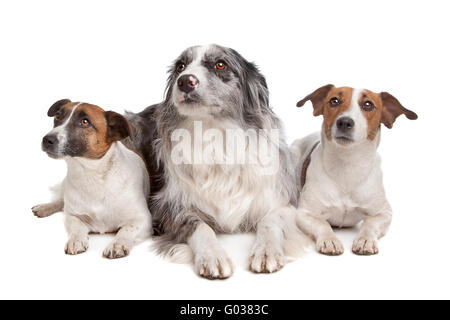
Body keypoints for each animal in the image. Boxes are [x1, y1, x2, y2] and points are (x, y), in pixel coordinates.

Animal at [32, 99, 153, 258]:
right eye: (57, 116)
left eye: (85, 122)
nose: (47, 139)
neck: (92, 175)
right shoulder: (73, 216)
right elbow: (76, 226)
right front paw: (76, 240)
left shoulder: (143, 219)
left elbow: (127, 230)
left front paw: (117, 244)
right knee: (60, 201)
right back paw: (44, 207)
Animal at [292, 84, 418, 255]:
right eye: (334, 101)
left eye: (368, 104)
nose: (344, 122)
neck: (347, 164)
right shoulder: (305, 213)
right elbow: (322, 224)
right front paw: (329, 239)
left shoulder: (384, 212)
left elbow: (370, 223)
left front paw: (365, 240)